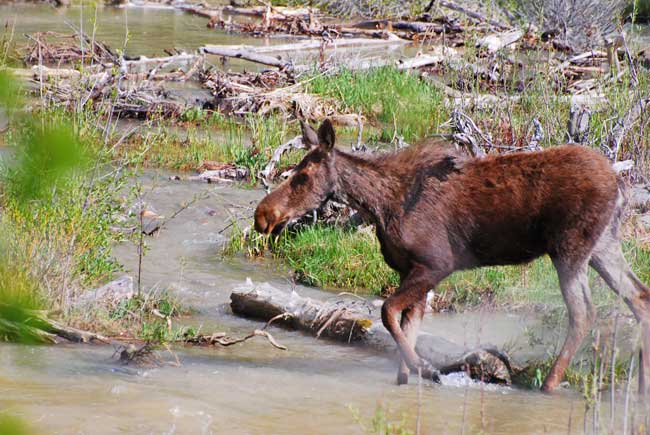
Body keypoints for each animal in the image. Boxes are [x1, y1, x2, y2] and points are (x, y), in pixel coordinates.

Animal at [252, 119, 648, 396]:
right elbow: (406, 326)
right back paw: (641, 387)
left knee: (584, 311)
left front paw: (428, 369)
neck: (380, 206)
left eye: (303, 176)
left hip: (570, 248)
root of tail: (620, 185)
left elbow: (388, 312)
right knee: (639, 296)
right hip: (603, 245)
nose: (263, 215)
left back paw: (550, 384)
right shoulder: (411, 271)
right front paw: (408, 378)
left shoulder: (435, 265)